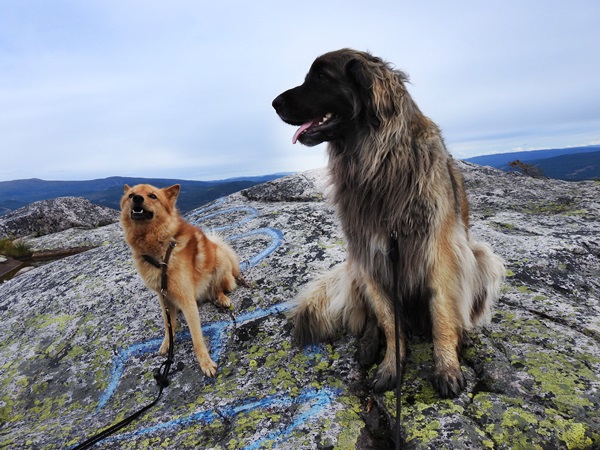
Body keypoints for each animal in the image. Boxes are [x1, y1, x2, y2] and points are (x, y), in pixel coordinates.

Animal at [120, 183, 240, 376]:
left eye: (152, 196)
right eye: (131, 195)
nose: (137, 198)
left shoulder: (186, 298)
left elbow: (196, 337)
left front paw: (205, 363)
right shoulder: (163, 296)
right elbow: (168, 323)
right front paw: (167, 343)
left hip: (220, 261)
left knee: (219, 288)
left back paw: (222, 298)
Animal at [274, 49, 506, 398]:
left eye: (321, 77)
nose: (274, 103)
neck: (379, 162)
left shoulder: (438, 251)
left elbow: (441, 313)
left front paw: (447, 367)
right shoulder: (371, 253)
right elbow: (387, 319)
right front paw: (391, 365)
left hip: (479, 256)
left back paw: (461, 333)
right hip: (355, 267)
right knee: (371, 318)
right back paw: (369, 345)